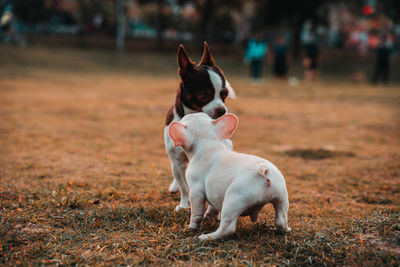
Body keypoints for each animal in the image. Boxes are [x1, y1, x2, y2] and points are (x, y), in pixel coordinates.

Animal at [164, 42, 236, 211]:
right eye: (204, 97)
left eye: (224, 95)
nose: (222, 110)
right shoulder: (177, 162)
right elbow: (184, 187)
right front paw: (184, 205)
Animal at [169, 113, 290, 241]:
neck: (208, 144)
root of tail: (264, 172)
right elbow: (212, 207)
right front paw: (210, 216)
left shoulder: (196, 190)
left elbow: (196, 213)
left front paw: (192, 227)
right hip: (281, 197)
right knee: (281, 219)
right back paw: (281, 229)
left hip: (233, 199)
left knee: (227, 228)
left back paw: (207, 237)